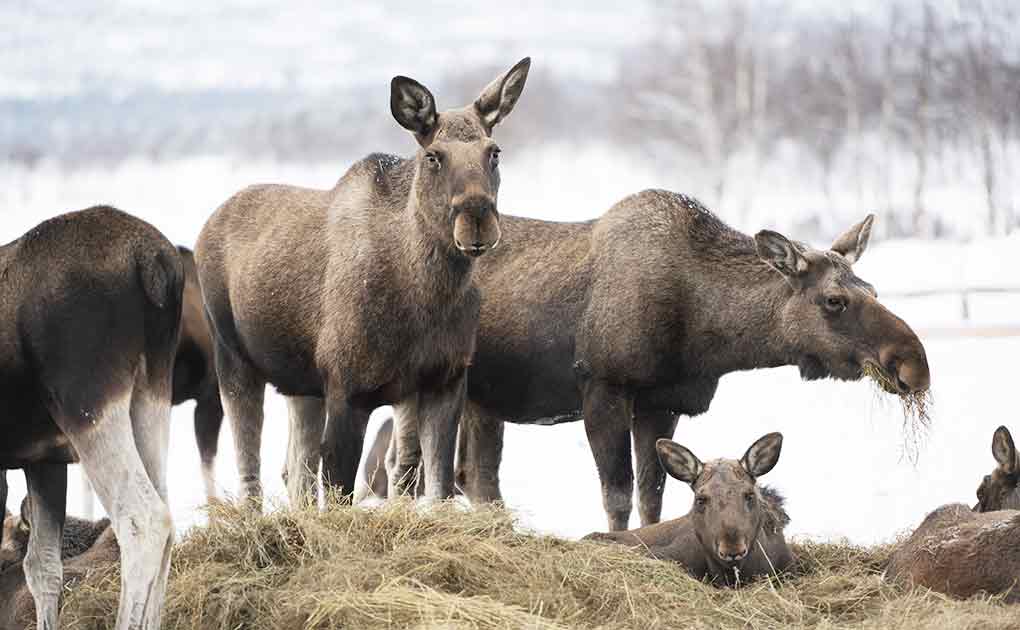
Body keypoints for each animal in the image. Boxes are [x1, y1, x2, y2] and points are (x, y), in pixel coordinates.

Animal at [0, 206, 182, 630]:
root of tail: (156, 262)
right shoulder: (43, 460)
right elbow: (42, 567)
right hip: (149, 396)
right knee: (166, 515)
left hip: (88, 405)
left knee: (141, 519)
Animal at [195, 58, 531, 507]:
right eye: (433, 156)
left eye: (493, 153)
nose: (477, 219)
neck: (427, 296)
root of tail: (206, 227)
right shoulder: (348, 390)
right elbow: (340, 492)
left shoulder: (442, 382)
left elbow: (435, 486)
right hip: (233, 359)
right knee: (251, 470)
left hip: (301, 385)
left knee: (297, 471)